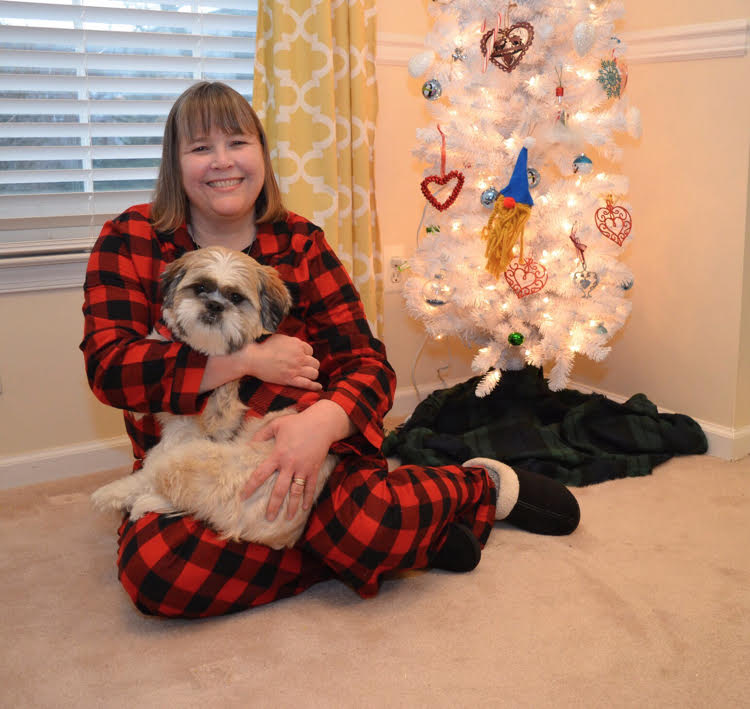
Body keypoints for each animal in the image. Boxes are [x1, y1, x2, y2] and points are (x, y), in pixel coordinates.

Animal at [89, 246, 336, 552]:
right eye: (201, 288)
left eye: (235, 298)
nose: (214, 306)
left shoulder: (207, 422)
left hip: (195, 458)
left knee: (153, 475)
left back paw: (115, 495)